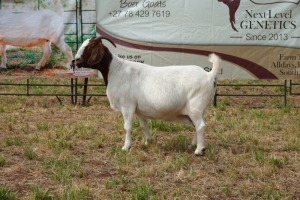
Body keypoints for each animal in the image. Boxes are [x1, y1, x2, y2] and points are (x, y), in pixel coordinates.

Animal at [74, 37, 221, 156]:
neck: (115, 70)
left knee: (200, 125)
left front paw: (126, 147)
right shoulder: (139, 110)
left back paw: (199, 150)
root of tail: (209, 75)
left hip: (195, 106)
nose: (75, 61)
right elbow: (144, 125)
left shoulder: (127, 106)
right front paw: (149, 141)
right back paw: (193, 144)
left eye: (90, 47)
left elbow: (127, 127)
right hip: (200, 109)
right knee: (197, 125)